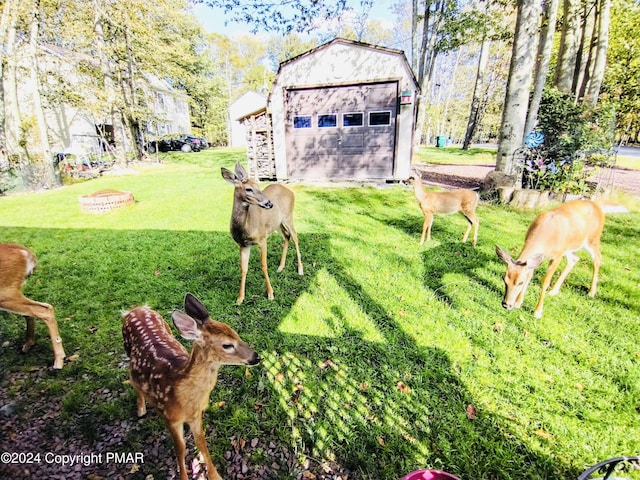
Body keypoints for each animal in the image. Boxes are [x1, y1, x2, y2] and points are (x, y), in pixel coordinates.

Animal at [0, 242, 65, 370]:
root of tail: (26, 252)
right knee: (30, 312)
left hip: (5, 293)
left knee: (44, 309)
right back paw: (27, 345)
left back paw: (59, 361)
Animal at [122, 292, 260, 480]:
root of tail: (136, 309)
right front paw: (183, 476)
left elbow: (201, 443)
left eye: (236, 333)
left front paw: (215, 475)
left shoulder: (196, 416)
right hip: (127, 350)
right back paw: (141, 409)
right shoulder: (170, 417)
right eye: (227, 345)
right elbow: (180, 449)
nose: (256, 357)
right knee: (133, 380)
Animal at [221, 163, 304, 302]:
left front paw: (270, 294)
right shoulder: (243, 245)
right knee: (286, 235)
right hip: (276, 223)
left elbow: (264, 265)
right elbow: (243, 268)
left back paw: (300, 269)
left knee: (295, 236)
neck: (245, 227)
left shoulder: (262, 239)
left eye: (258, 186)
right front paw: (240, 298)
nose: (269, 203)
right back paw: (280, 267)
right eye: (248, 189)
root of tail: (290, 191)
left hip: (288, 216)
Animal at [496, 199, 624, 318]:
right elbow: (529, 275)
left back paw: (591, 292)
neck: (546, 236)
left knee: (597, 258)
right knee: (575, 259)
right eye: (504, 279)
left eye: (520, 282)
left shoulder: (557, 256)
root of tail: (597, 204)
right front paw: (518, 303)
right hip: (569, 247)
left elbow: (545, 281)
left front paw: (537, 312)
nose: (506, 304)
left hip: (592, 239)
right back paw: (554, 291)